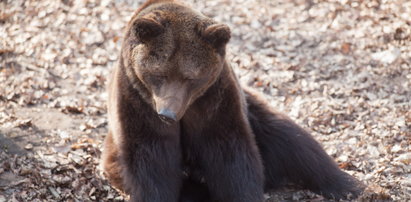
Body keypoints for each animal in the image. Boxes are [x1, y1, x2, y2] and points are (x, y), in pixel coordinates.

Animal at [101, 0, 366, 201]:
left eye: (191, 78)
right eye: (158, 74)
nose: (168, 114)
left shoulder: (214, 100)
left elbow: (230, 154)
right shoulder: (138, 102)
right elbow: (151, 160)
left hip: (255, 111)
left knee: (294, 141)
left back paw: (355, 187)